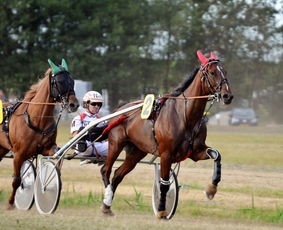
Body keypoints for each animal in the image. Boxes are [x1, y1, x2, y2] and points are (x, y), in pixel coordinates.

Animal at [0, 58, 80, 209]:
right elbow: (16, 180)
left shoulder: (48, 148)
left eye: (72, 81)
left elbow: (56, 160)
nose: (74, 104)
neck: (37, 120)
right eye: (60, 82)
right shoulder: (18, 154)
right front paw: (11, 203)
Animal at [101, 49, 234, 217]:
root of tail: (119, 110)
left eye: (225, 71)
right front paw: (162, 210)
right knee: (106, 170)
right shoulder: (166, 154)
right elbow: (164, 184)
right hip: (116, 144)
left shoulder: (196, 152)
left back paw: (107, 205)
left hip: (137, 151)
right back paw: (106, 199)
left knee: (118, 174)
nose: (227, 96)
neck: (186, 116)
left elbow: (216, 155)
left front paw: (211, 189)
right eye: (212, 72)